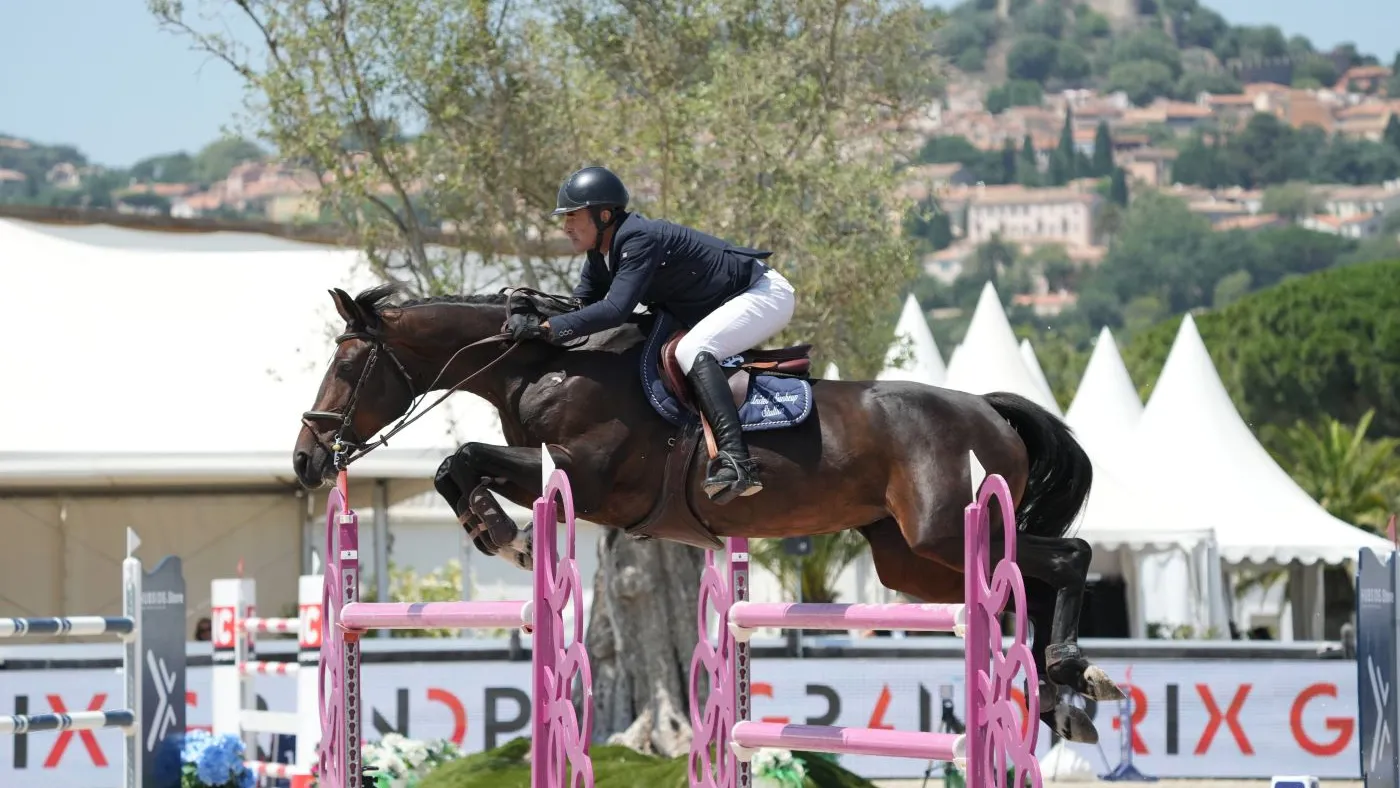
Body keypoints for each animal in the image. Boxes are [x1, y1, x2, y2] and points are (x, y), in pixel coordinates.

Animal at [293, 283, 1124, 744]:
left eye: (346, 363)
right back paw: (1066, 696)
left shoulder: (584, 478)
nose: (305, 460)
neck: (544, 364)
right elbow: (454, 466)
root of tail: (987, 409)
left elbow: (460, 458)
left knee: (1067, 558)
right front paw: (498, 532)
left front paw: (506, 537)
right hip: (911, 561)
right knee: (1017, 588)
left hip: (944, 528)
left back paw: (1068, 666)